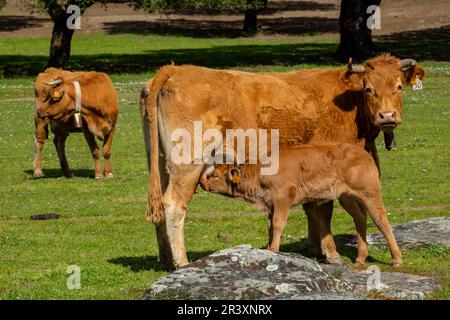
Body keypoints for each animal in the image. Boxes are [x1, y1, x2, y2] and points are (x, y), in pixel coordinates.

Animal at [204, 140, 400, 268]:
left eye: (214, 175)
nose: (202, 183)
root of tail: (360, 150)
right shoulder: (271, 204)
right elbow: (270, 225)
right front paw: (268, 247)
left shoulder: (283, 198)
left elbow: (278, 224)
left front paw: (273, 249)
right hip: (347, 197)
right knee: (360, 218)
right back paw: (360, 258)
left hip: (370, 194)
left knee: (381, 220)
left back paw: (396, 259)